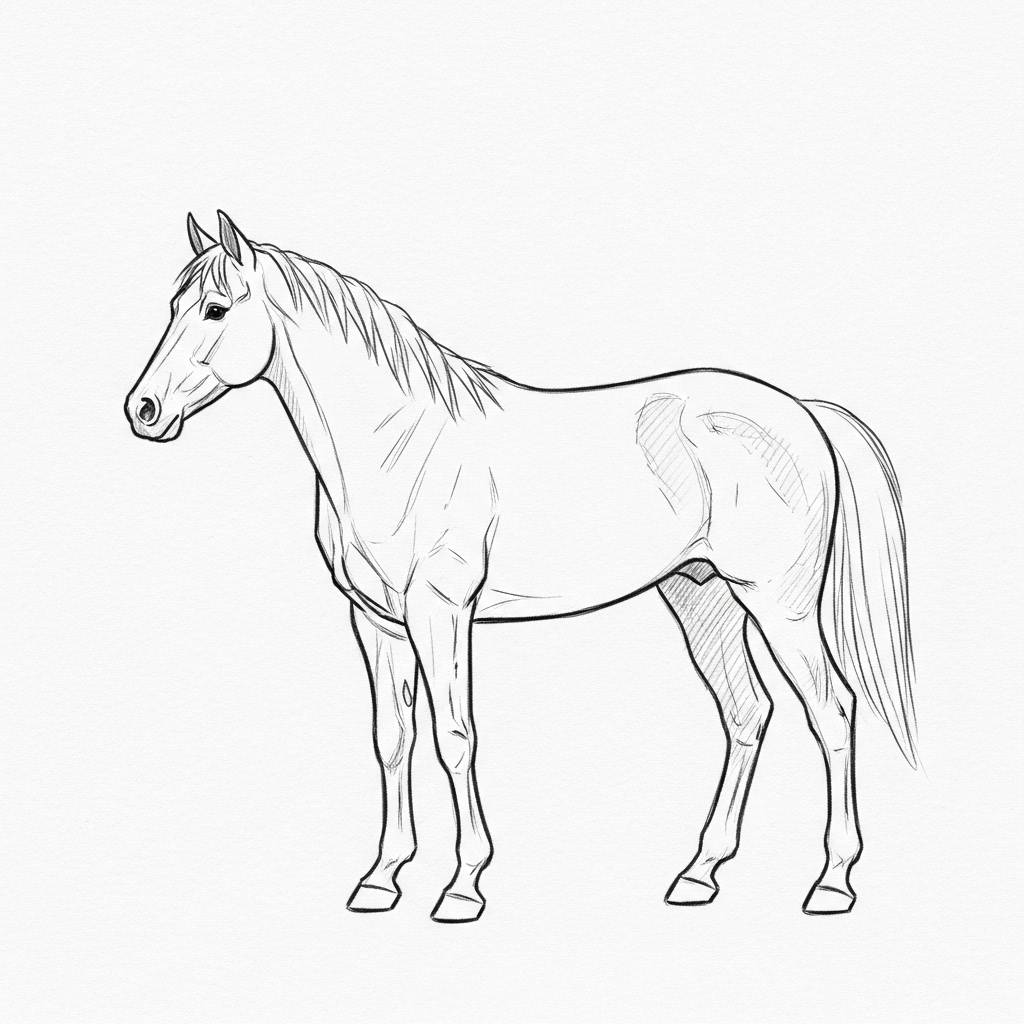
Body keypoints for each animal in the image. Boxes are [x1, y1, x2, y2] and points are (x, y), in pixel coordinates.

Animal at [125, 211, 916, 923]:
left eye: (216, 308)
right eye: (172, 306)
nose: (143, 409)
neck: (398, 445)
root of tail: (802, 412)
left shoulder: (441, 611)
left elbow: (454, 738)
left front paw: (462, 888)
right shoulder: (376, 622)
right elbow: (392, 741)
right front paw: (381, 880)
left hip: (779, 605)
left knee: (832, 710)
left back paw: (832, 883)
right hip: (704, 598)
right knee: (747, 712)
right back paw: (699, 874)